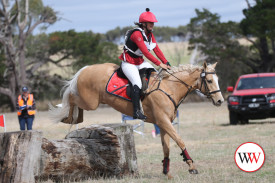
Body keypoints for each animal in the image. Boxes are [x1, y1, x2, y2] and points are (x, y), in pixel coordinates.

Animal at [49, 61, 225, 177]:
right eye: (210, 81)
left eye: (218, 80)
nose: (220, 101)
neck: (170, 88)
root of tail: (86, 69)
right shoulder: (164, 122)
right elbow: (180, 141)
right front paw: (191, 166)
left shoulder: (163, 124)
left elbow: (166, 147)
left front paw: (166, 171)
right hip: (90, 102)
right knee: (71, 97)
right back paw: (68, 116)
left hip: (89, 102)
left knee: (75, 103)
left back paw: (73, 118)